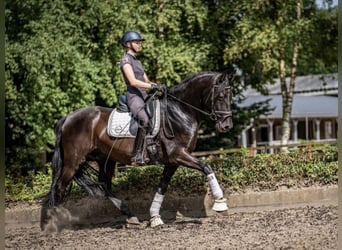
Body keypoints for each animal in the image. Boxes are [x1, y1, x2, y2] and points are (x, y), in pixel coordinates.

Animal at [39, 70, 232, 230]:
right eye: (221, 96)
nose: (226, 126)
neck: (180, 112)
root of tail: (67, 118)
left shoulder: (173, 161)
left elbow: (162, 186)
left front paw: (154, 217)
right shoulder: (178, 155)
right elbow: (206, 167)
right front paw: (220, 202)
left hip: (106, 159)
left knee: (104, 185)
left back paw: (130, 216)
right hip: (73, 163)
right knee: (59, 187)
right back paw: (52, 224)